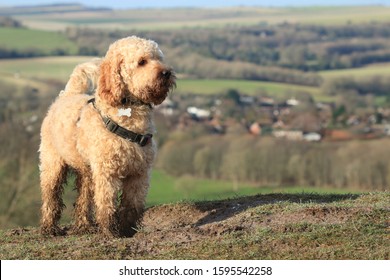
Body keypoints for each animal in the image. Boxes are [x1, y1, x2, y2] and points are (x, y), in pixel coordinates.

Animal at [39, 36, 175, 236]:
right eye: (142, 62)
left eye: (158, 58)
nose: (167, 73)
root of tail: (67, 95)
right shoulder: (106, 173)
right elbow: (106, 203)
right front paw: (110, 231)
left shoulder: (139, 173)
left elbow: (132, 205)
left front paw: (127, 230)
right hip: (53, 165)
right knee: (51, 196)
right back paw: (50, 228)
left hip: (87, 170)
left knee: (83, 198)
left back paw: (84, 226)